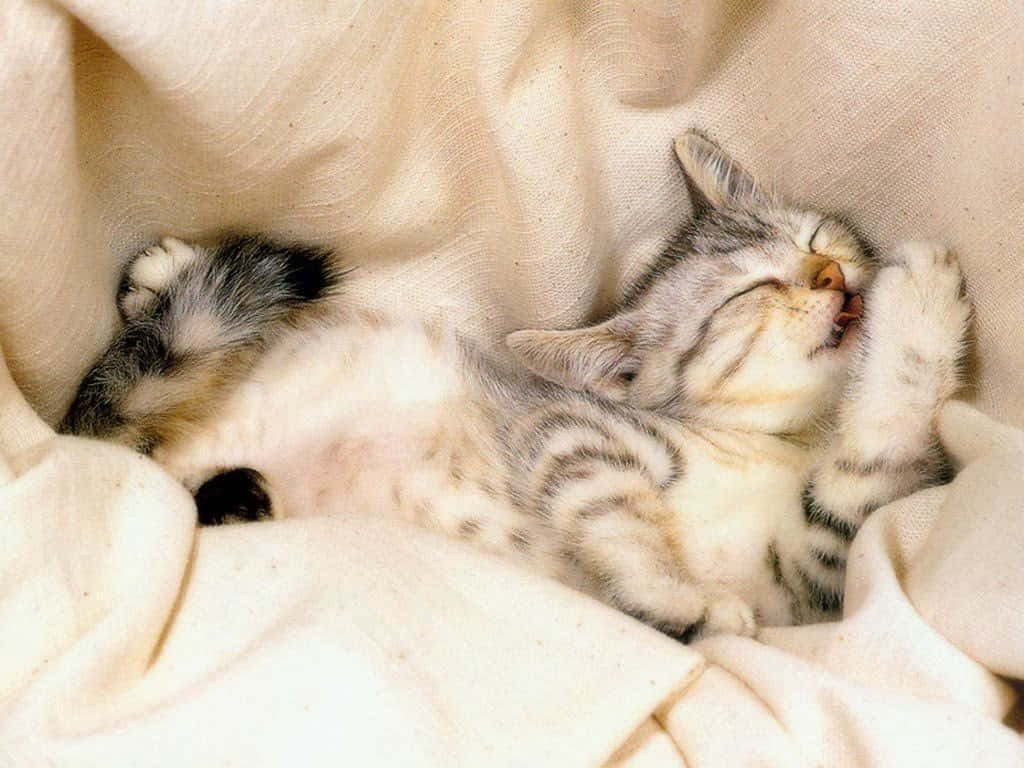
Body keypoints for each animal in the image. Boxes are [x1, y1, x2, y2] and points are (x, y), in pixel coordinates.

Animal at [59, 132, 970, 643]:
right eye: (749, 293)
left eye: (818, 239)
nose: (831, 276)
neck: (777, 443)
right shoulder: (569, 435)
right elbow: (620, 515)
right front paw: (681, 596)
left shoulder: (815, 574)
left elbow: (875, 456)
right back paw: (162, 279)